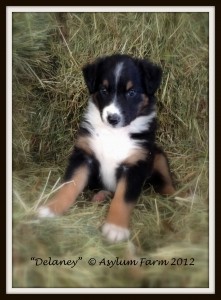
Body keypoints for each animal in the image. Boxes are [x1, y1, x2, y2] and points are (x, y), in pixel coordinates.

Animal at [38, 54, 176, 244]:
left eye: (131, 93)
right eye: (104, 90)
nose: (112, 118)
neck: (113, 133)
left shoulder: (135, 165)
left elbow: (122, 199)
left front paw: (115, 228)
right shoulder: (84, 155)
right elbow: (69, 186)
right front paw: (51, 209)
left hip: (158, 156)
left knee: (167, 183)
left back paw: (179, 200)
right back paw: (100, 196)